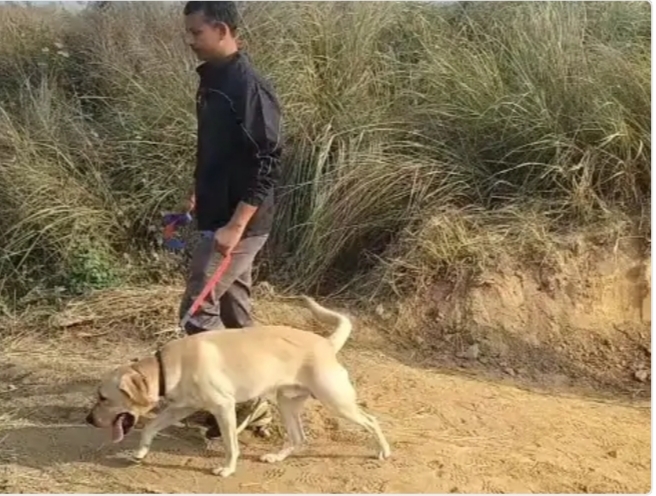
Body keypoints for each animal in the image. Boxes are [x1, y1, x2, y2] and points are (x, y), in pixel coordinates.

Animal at [86, 296, 391, 477]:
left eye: (103, 397)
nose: (88, 419)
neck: (164, 367)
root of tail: (326, 343)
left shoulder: (223, 407)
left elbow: (231, 444)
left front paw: (227, 468)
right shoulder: (180, 408)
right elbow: (150, 427)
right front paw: (140, 453)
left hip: (337, 402)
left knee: (372, 420)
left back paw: (384, 451)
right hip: (287, 403)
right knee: (298, 437)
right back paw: (276, 457)